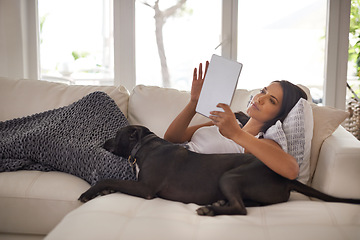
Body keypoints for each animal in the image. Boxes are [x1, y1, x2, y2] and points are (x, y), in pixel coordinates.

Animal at [79, 125, 360, 216]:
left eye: (117, 134)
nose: (103, 143)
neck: (146, 145)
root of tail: (283, 177)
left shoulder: (145, 188)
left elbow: (108, 178)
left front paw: (90, 193)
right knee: (246, 204)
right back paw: (218, 203)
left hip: (230, 176)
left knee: (241, 209)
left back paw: (210, 209)